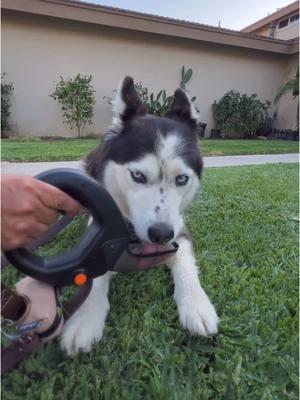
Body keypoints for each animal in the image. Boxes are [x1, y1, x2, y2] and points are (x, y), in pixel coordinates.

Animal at [61, 76, 220, 354]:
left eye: (182, 179)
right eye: (137, 175)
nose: (161, 234)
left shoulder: (180, 231)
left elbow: (185, 264)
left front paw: (196, 305)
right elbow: (95, 273)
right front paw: (85, 318)